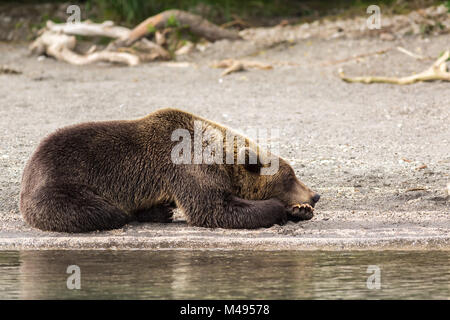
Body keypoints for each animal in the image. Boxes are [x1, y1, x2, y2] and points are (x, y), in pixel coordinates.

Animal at [19, 108, 318, 232]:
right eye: (290, 177)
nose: (315, 196)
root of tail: (28, 169)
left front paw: (299, 210)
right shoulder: (189, 166)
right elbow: (213, 207)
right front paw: (279, 208)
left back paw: (160, 210)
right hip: (60, 185)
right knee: (100, 211)